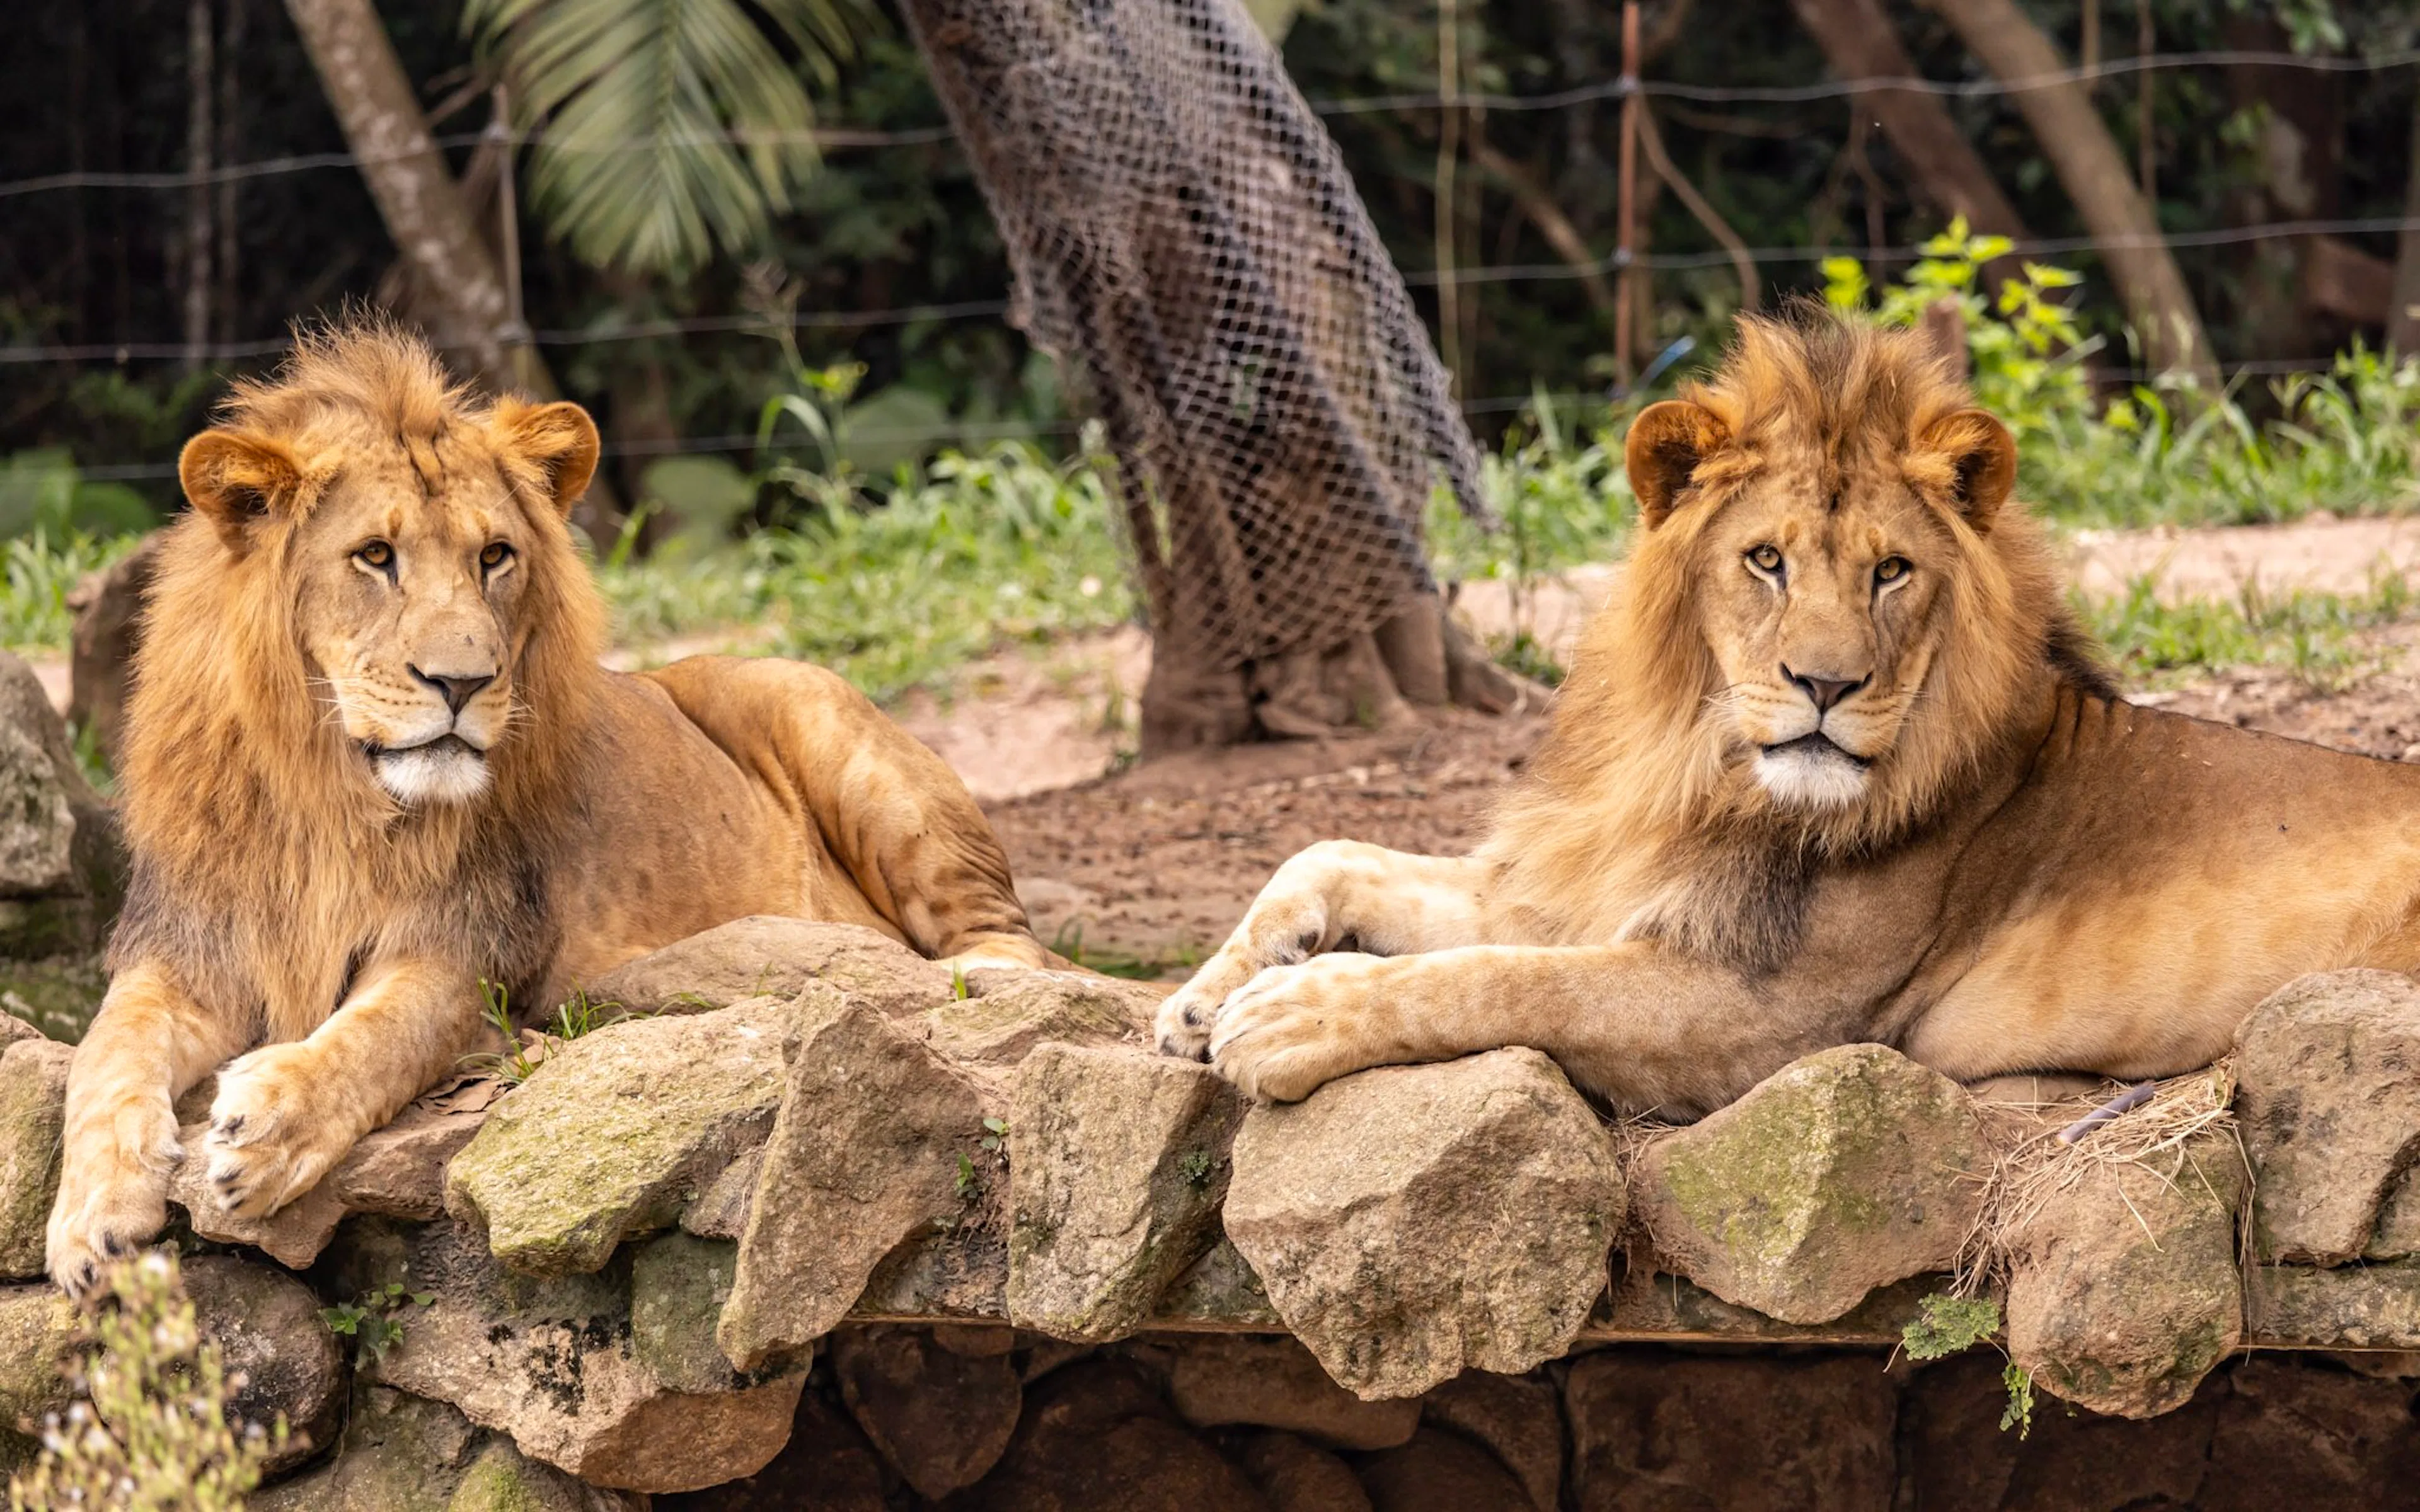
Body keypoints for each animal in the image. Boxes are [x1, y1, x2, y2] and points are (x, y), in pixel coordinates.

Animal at [48, 320, 1054, 1294]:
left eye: (495, 556)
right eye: (375, 557)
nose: (464, 682)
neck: (329, 797)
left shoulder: (476, 950)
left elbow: (376, 1038)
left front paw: (269, 1127)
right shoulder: (185, 947)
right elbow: (103, 1054)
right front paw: (88, 1221)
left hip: (833, 730)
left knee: (1015, 944)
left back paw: (979, 983)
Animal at [1157, 310, 2420, 1115]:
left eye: (1892, 573)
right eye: (1765, 560)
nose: (1825, 686)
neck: (1699, 770)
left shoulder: (1769, 1019)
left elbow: (1498, 980)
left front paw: (1286, 1015)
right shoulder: (1588, 886)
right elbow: (1336, 852)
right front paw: (1200, 997)